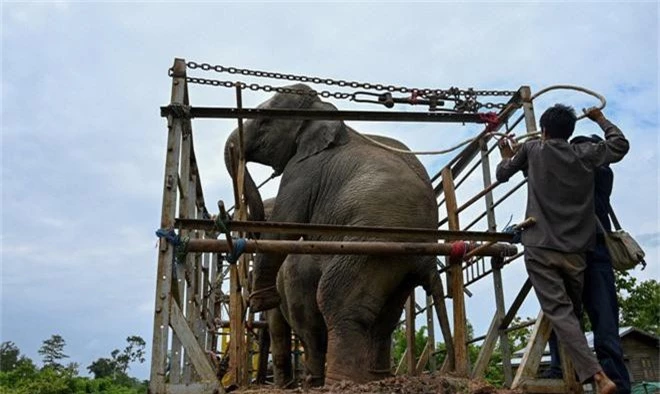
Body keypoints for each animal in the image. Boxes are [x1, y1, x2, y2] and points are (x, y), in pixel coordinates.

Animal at [223, 84, 444, 384]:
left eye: (265, 122)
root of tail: (427, 256)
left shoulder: (303, 171)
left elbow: (285, 225)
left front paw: (260, 301)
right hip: (400, 265)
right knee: (384, 318)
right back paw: (376, 379)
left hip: (372, 246)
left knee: (338, 303)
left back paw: (339, 382)